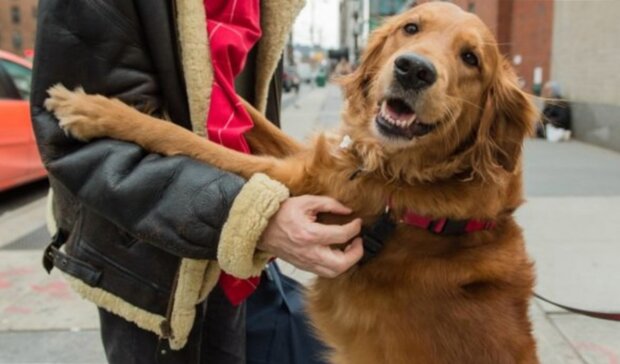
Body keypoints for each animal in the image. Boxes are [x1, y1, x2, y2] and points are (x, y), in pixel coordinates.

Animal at [46, 3, 536, 364]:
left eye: (471, 58)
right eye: (410, 28)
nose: (413, 69)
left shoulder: (302, 182)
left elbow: (187, 139)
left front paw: (96, 109)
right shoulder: (308, 161)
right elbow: (243, 111)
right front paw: (206, 67)